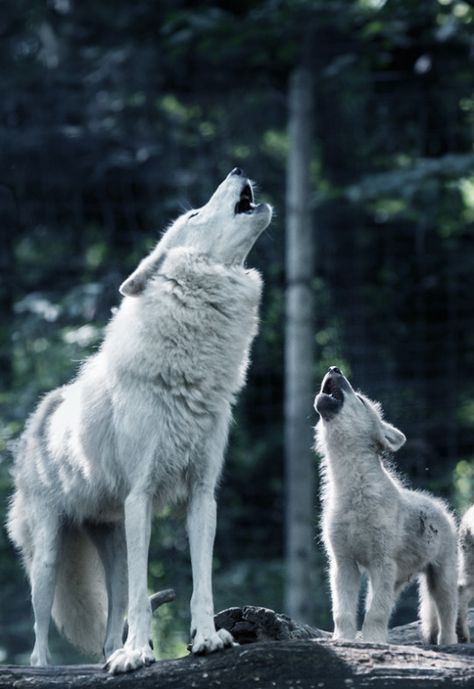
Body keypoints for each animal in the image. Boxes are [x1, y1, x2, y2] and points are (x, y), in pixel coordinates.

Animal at [6, 167, 274, 672]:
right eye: (192, 214)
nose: (236, 170)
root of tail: (40, 413)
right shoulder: (142, 496)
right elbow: (140, 595)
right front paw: (139, 654)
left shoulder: (203, 495)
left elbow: (201, 584)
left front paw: (208, 638)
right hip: (49, 556)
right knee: (39, 629)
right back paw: (48, 667)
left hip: (113, 542)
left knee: (112, 616)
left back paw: (113, 653)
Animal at [314, 368, 460, 644]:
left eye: (360, 399)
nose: (334, 369)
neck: (353, 490)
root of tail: (439, 505)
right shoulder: (343, 563)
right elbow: (343, 611)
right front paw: (344, 640)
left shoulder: (382, 562)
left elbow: (375, 612)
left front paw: (372, 640)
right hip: (394, 580)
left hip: (441, 580)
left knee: (448, 620)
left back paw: (448, 644)